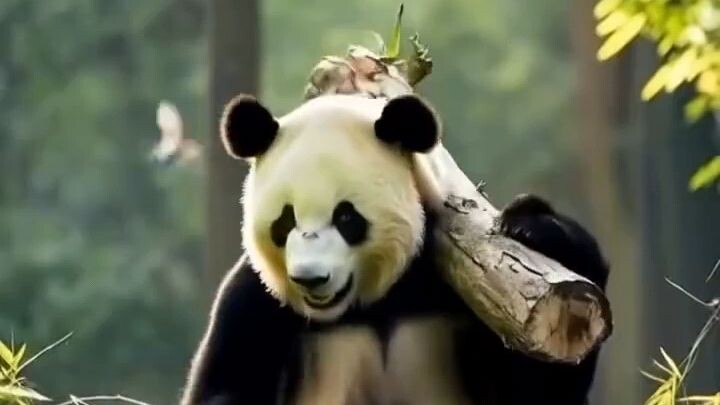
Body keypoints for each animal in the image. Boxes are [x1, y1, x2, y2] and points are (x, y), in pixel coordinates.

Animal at [180, 93, 610, 405]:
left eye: (346, 217)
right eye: (285, 222)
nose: (311, 278)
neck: (371, 304)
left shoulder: (455, 287)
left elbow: (539, 389)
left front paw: (531, 224)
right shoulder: (253, 304)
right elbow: (225, 385)